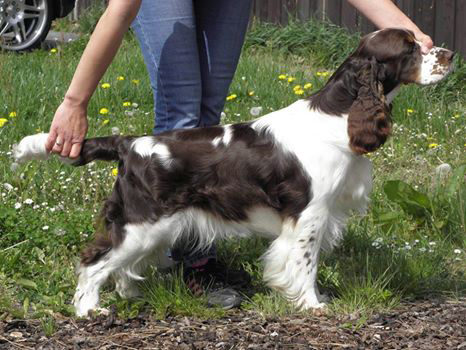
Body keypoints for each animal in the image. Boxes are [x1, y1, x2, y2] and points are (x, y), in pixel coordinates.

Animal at [15, 28, 456, 316]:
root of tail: (129, 143)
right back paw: (90, 310)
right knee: (94, 262)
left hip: (152, 228)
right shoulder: (309, 214)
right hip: (142, 224)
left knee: (121, 268)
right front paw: (312, 304)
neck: (341, 114)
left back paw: (131, 297)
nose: (450, 55)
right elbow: (305, 263)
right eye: (409, 48)